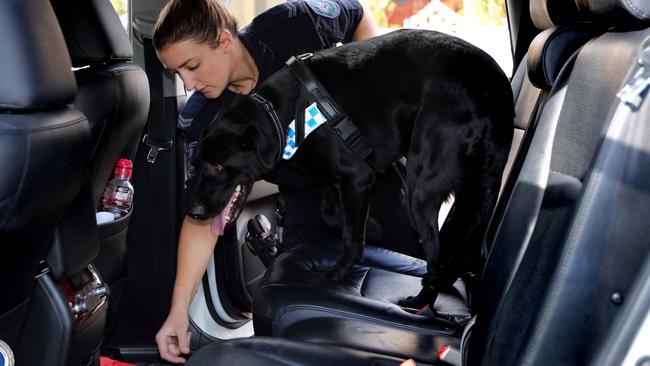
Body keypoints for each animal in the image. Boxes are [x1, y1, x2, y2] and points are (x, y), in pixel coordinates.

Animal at [186, 30, 512, 308]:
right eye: (196, 165)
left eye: (217, 165)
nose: (194, 212)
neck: (278, 113)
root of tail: (493, 89)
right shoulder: (340, 177)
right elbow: (330, 215)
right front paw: (373, 227)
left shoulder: (356, 177)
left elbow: (351, 237)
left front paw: (339, 271)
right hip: (477, 188)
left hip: (422, 189)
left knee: (437, 256)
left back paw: (420, 301)